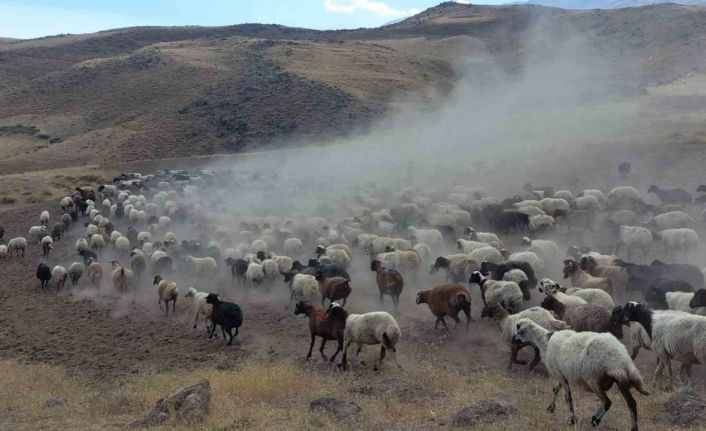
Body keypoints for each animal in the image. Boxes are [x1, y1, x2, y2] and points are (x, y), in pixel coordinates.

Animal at [508, 318, 648, 430]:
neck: (545, 342)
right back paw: (634, 428)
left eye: (519, 328)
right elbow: (555, 389)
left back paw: (595, 420)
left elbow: (568, 398)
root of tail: (621, 360)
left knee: (607, 402)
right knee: (632, 403)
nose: (512, 340)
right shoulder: (562, 373)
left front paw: (572, 420)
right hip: (622, 381)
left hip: (594, 380)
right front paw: (551, 408)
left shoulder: (560, 374)